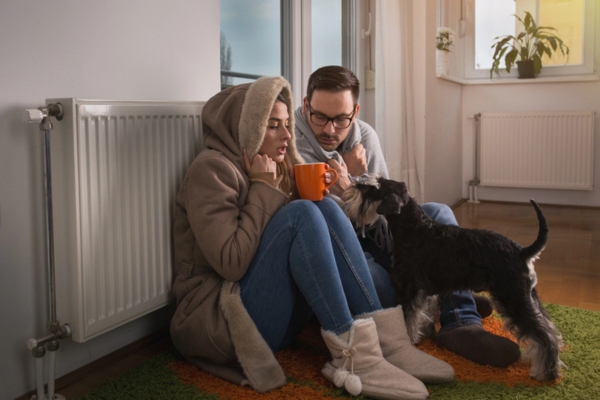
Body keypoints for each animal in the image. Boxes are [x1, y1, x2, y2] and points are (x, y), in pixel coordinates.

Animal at [344, 175, 564, 382]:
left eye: (372, 188)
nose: (351, 186)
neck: (414, 228)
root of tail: (522, 252)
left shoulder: (409, 288)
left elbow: (407, 318)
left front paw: (409, 341)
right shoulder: (423, 292)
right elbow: (420, 315)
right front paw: (421, 334)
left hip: (513, 298)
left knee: (544, 336)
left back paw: (547, 373)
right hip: (527, 296)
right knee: (550, 328)